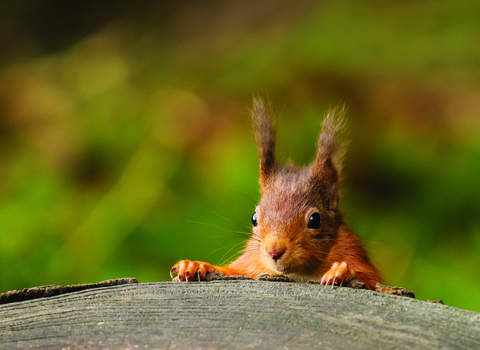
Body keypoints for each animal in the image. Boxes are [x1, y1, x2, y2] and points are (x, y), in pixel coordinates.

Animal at [171, 98, 380, 290]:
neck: (297, 273)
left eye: (315, 220)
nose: (274, 251)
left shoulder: (350, 250)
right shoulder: (249, 263)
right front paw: (196, 265)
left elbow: (369, 279)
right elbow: (230, 270)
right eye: (254, 218)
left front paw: (341, 271)